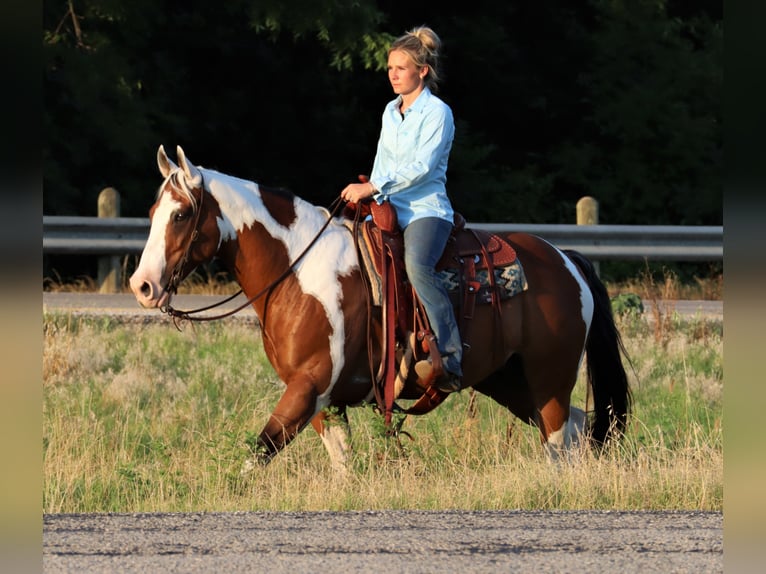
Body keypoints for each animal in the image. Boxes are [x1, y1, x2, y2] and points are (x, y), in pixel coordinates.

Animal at [132, 146, 632, 474]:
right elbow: (341, 464)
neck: (298, 270)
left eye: (181, 214)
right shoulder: (323, 401)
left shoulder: (307, 387)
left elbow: (257, 454)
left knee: (559, 439)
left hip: (550, 377)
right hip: (509, 381)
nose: (143, 286)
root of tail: (566, 259)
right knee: (576, 429)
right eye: (153, 212)